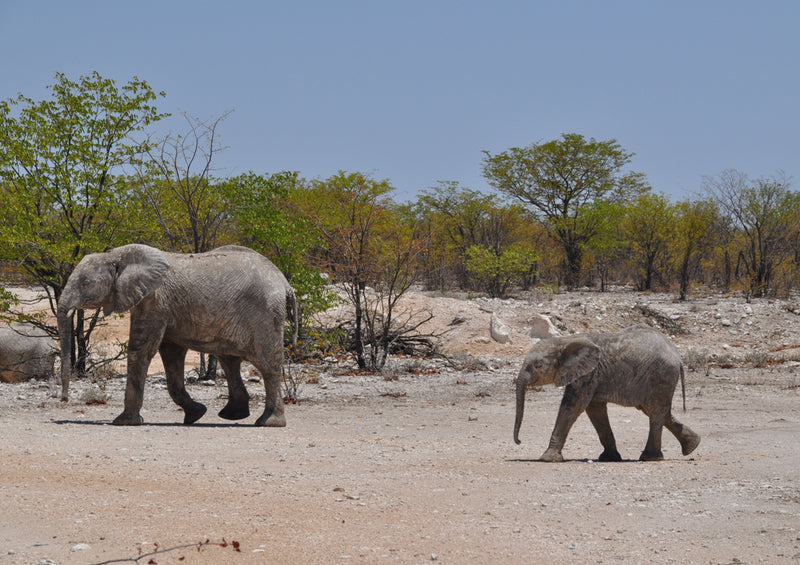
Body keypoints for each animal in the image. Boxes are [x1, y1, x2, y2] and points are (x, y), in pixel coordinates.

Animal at [57, 245, 296, 426]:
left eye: (85, 283)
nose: (64, 399)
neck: (116, 255)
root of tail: (285, 283)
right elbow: (171, 355)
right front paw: (196, 414)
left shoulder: (155, 300)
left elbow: (141, 351)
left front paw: (124, 422)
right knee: (230, 361)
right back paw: (232, 415)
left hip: (266, 315)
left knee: (268, 365)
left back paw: (268, 423)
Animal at [516, 324, 696, 460]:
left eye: (538, 365)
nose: (519, 442)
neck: (565, 340)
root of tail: (678, 356)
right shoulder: (591, 375)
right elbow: (595, 410)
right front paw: (610, 458)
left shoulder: (589, 374)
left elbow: (572, 407)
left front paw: (547, 459)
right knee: (657, 411)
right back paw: (692, 446)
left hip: (661, 375)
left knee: (656, 412)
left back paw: (649, 458)